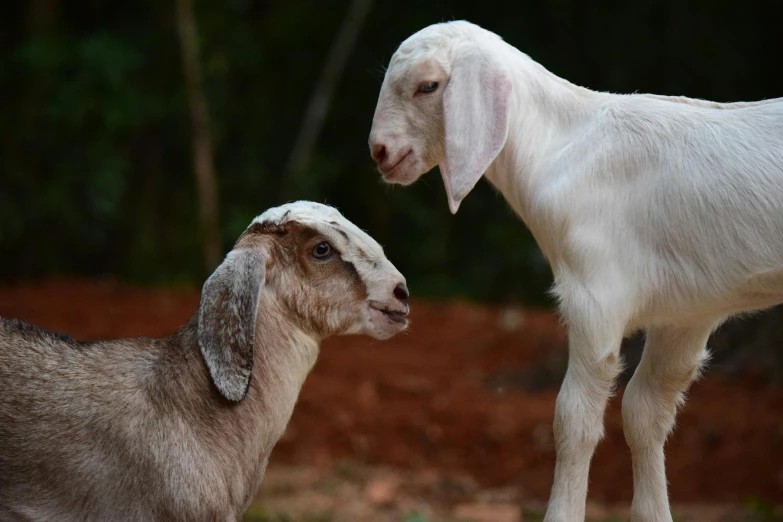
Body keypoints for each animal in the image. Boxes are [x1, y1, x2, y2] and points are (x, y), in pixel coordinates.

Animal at [370, 20, 783, 520]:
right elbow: (645, 411)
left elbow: (573, 419)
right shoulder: (686, 312)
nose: (380, 151)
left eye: (428, 86)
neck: (560, 148)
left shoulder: (594, 296)